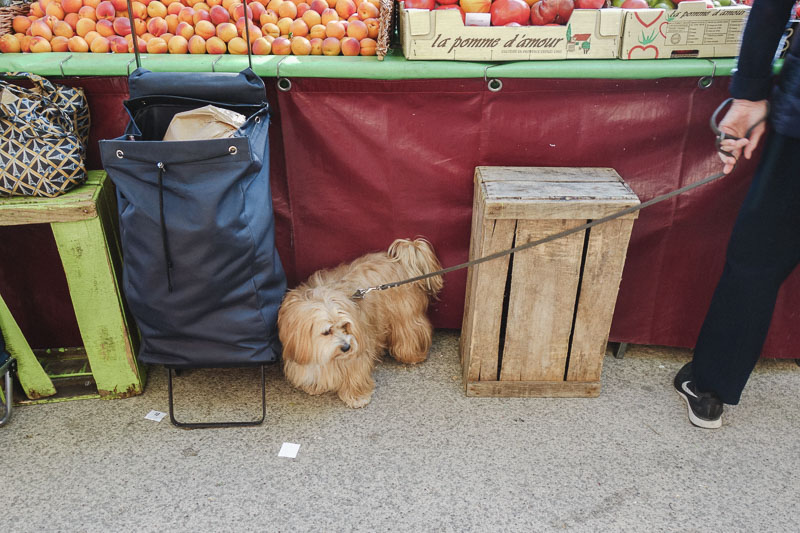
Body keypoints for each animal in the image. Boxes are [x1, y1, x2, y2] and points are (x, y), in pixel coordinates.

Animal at [278, 239, 444, 410]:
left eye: (345, 326)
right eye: (327, 331)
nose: (346, 347)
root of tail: (399, 259)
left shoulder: (358, 348)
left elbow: (355, 372)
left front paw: (356, 396)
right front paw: (314, 386)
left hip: (404, 316)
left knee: (411, 333)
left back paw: (412, 355)